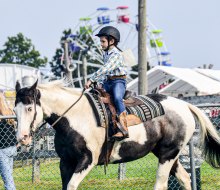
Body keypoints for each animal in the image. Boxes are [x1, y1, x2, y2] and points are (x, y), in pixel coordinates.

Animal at [14, 79, 220, 189]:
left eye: (30, 108)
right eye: (15, 109)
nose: (22, 138)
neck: (75, 117)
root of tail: (185, 104)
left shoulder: (87, 161)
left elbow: (72, 185)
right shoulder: (65, 162)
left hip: (168, 154)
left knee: (161, 184)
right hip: (168, 154)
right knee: (185, 178)